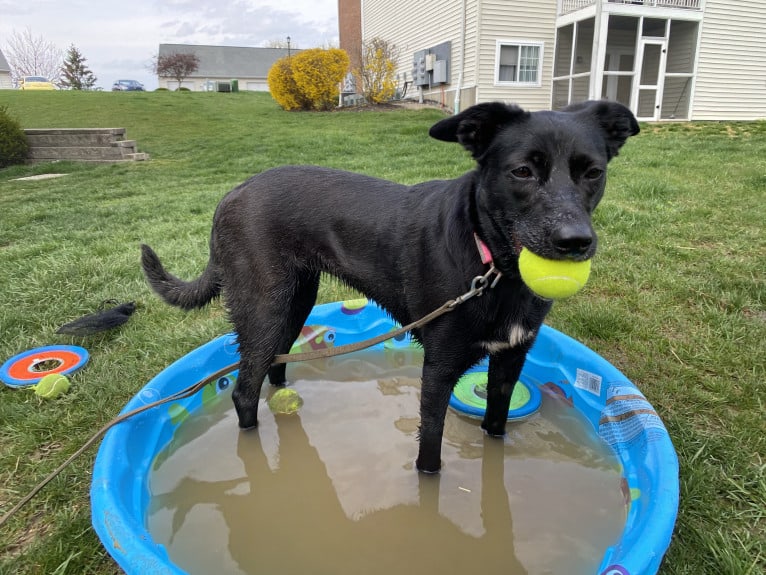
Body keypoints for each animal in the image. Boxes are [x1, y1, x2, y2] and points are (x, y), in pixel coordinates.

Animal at [141, 101, 640, 474]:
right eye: (522, 172)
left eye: (593, 172)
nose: (575, 242)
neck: (493, 264)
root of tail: (231, 194)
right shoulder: (439, 368)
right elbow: (430, 451)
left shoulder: (509, 362)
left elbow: (495, 428)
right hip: (265, 307)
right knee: (244, 391)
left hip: (295, 303)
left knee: (276, 367)